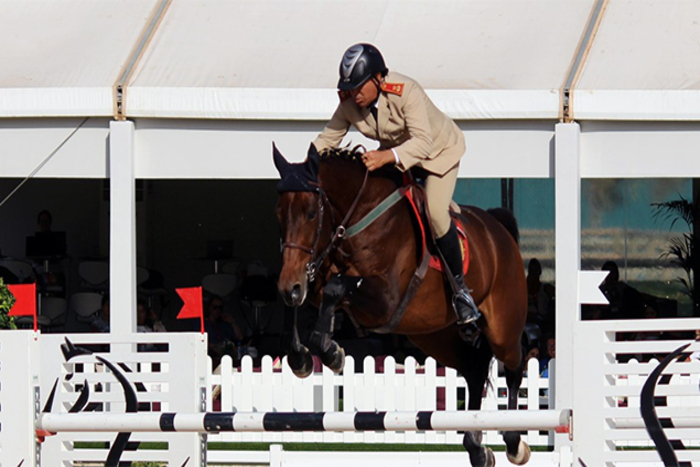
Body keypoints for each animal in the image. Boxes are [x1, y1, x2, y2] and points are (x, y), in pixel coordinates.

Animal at [272, 144, 524, 467]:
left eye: (311, 212)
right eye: (279, 213)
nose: (288, 285)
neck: (357, 219)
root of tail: (498, 229)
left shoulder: (386, 300)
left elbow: (335, 288)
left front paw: (331, 353)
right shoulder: (311, 279)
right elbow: (304, 301)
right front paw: (306, 357)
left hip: (503, 327)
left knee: (514, 368)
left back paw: (514, 441)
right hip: (435, 335)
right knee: (475, 368)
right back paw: (477, 447)